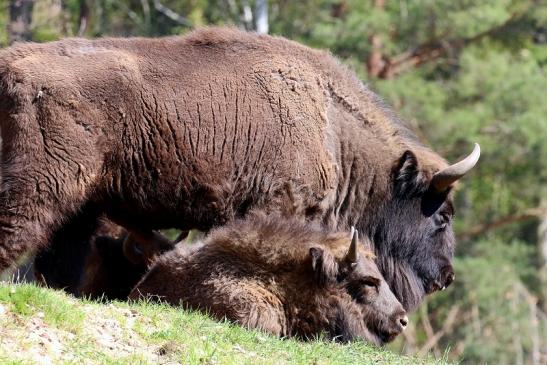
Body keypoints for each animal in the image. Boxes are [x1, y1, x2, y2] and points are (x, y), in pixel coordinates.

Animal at [0, 26, 480, 310]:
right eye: (441, 215)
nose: (446, 276)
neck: (329, 125)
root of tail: (11, 64)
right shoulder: (280, 207)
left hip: (81, 203)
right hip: (40, 186)